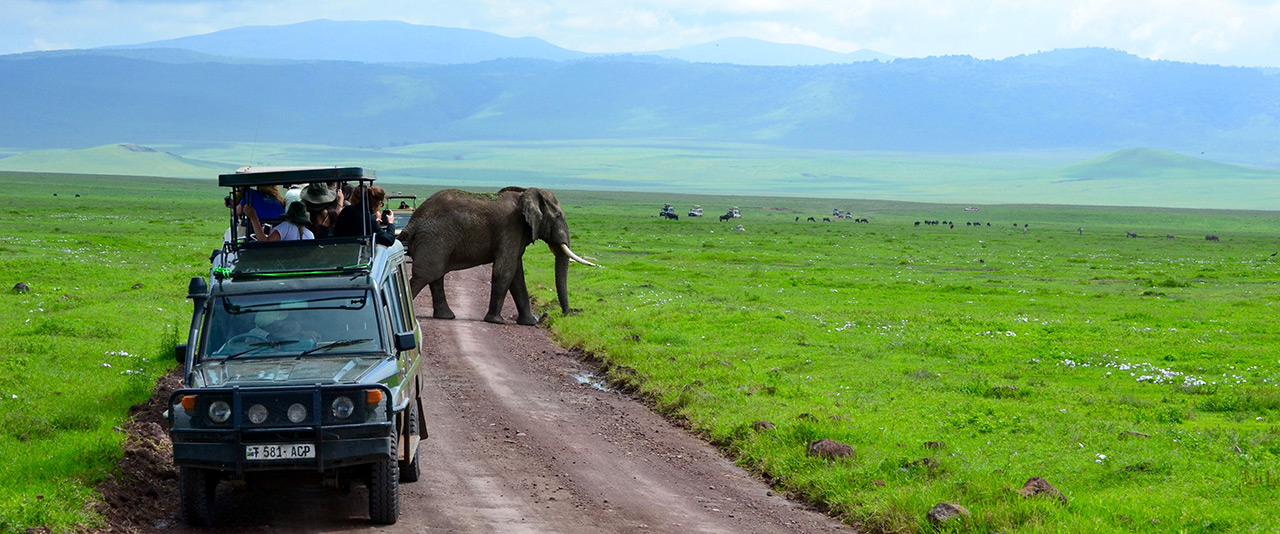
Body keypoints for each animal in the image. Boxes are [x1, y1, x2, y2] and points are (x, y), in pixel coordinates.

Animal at [394, 186, 593, 325]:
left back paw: (446, 317)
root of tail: (413, 221)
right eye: (558, 216)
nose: (563, 314)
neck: (526, 193)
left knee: (435, 277)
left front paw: (529, 323)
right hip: (435, 239)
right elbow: (505, 271)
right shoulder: (511, 228)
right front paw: (496, 321)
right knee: (424, 276)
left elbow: (517, 277)